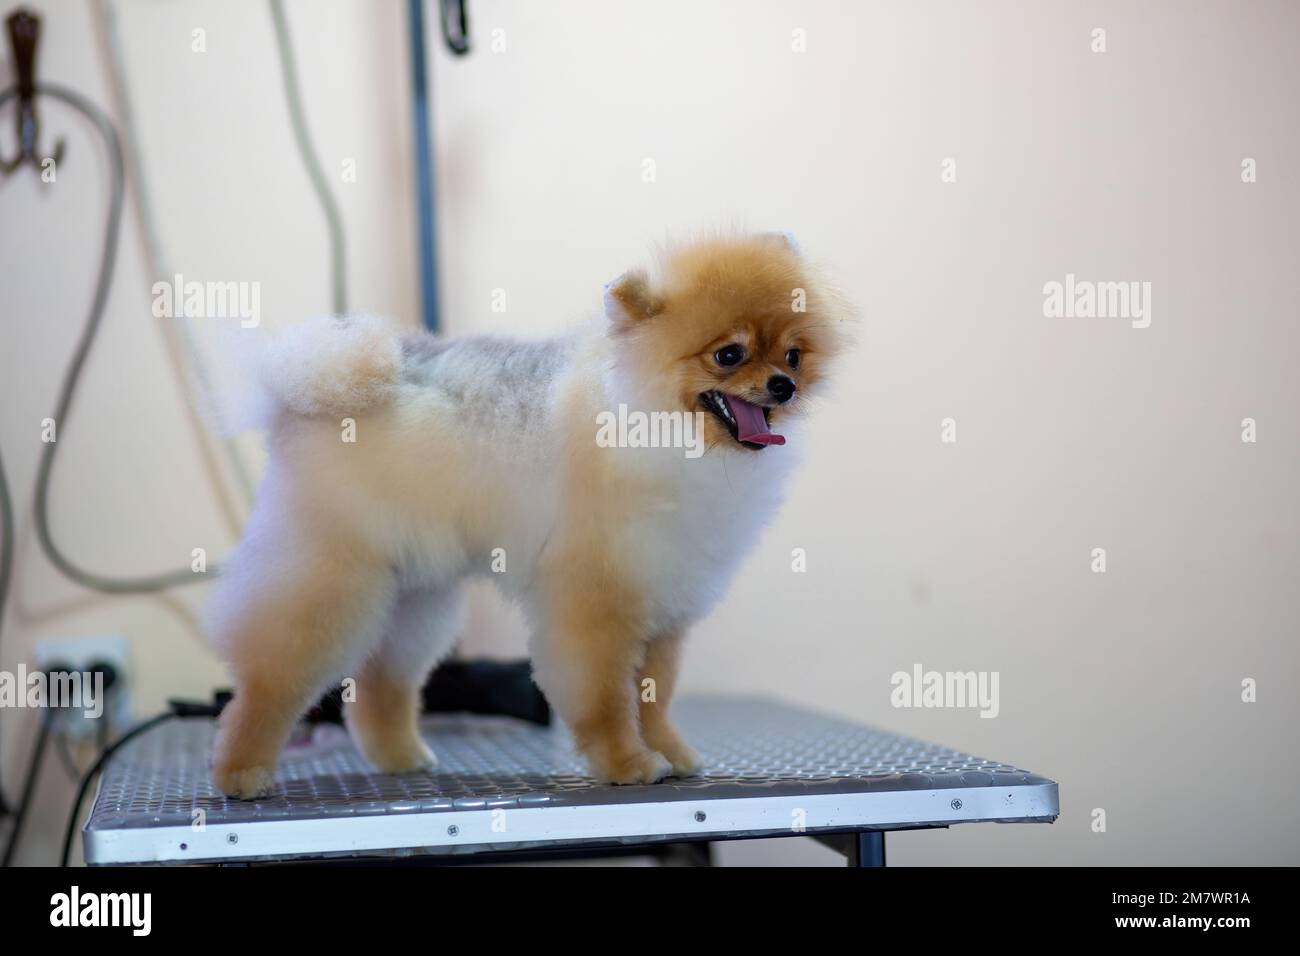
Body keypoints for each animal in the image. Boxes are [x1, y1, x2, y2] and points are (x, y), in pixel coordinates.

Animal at [208, 234, 847, 801]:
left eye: (794, 354)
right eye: (729, 354)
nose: (784, 386)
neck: (665, 431)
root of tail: (299, 398)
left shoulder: (663, 600)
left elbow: (655, 695)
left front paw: (669, 751)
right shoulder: (596, 600)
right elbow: (607, 697)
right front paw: (629, 763)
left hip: (415, 592)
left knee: (382, 679)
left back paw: (401, 757)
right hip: (332, 578)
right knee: (270, 680)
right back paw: (242, 771)